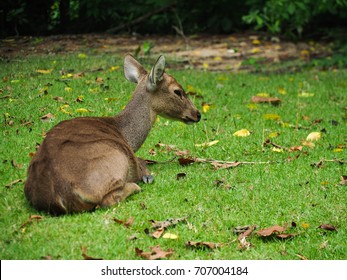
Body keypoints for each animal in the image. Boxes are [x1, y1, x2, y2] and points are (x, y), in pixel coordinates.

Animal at [23, 55, 201, 217]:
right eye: (177, 91)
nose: (197, 114)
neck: (125, 135)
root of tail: (60, 196)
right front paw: (146, 176)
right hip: (115, 159)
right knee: (109, 200)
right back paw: (136, 185)